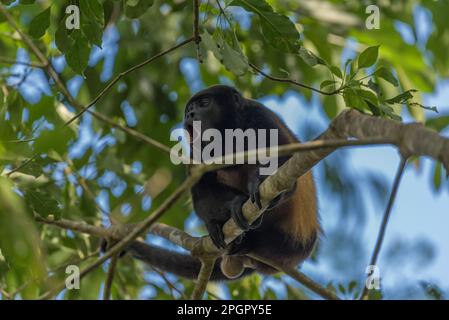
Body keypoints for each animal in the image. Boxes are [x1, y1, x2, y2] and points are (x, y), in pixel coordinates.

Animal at [126, 84, 318, 280]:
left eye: (204, 103)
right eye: (188, 110)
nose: (190, 114)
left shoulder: (260, 115)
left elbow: (283, 165)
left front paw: (256, 186)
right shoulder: (195, 153)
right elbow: (202, 194)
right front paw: (232, 206)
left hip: (294, 246)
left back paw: (249, 240)